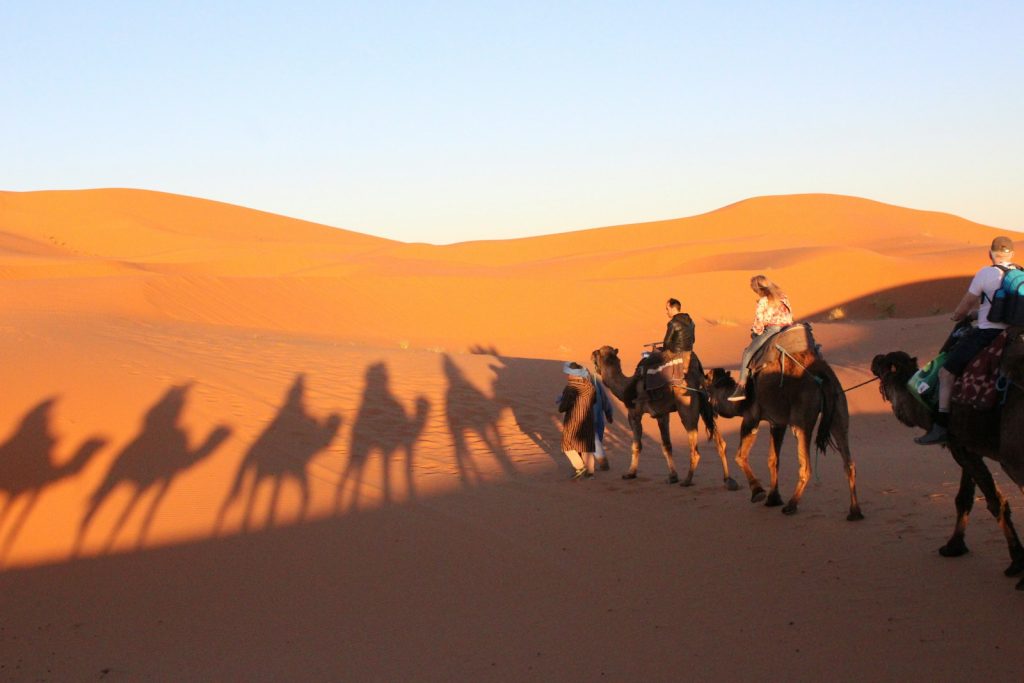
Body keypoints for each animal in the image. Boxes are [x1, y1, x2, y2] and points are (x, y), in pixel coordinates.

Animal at [585, 350, 737, 489]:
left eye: (597, 354)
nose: (591, 354)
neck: (627, 386)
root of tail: (698, 376)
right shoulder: (662, 415)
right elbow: (666, 445)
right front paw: (673, 476)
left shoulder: (634, 414)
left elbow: (636, 445)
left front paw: (630, 473)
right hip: (706, 407)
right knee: (720, 443)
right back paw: (728, 480)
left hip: (686, 408)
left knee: (695, 450)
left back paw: (687, 480)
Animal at [700, 327, 860, 520]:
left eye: (705, 382)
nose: (702, 400)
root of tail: (822, 375)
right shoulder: (777, 423)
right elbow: (773, 459)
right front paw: (773, 498)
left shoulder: (751, 417)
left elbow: (740, 456)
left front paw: (758, 492)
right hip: (838, 409)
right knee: (848, 461)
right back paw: (855, 511)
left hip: (801, 417)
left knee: (806, 465)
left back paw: (792, 505)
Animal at [872, 325, 1024, 589]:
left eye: (884, 363)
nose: (874, 358)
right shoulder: (964, 444)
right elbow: (964, 497)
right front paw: (954, 546)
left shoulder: (959, 446)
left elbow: (995, 502)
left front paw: (1016, 563)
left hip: (1014, 456)